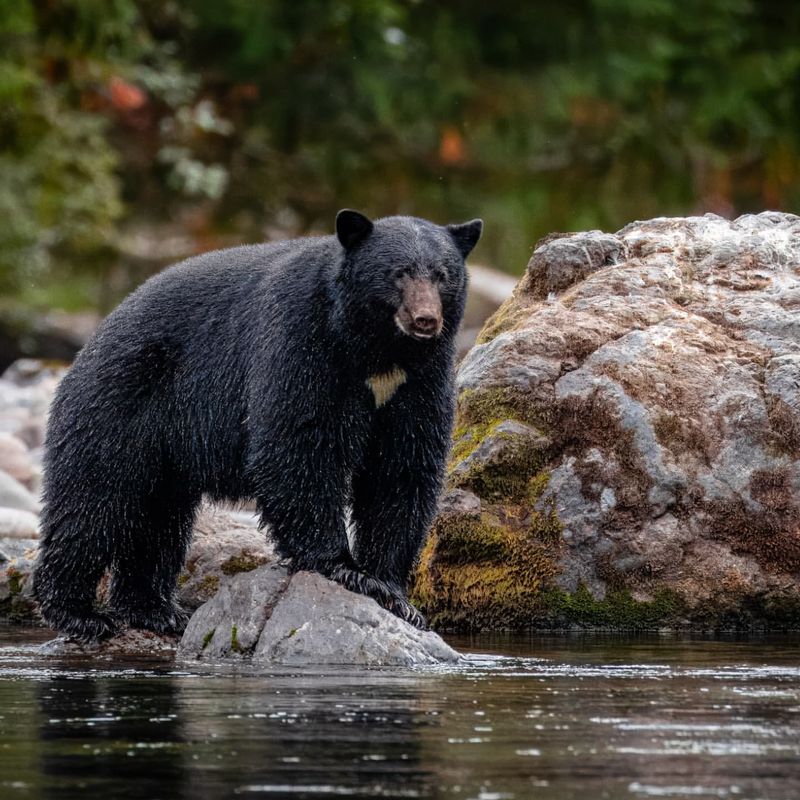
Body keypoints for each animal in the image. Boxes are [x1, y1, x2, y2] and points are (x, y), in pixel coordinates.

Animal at [32, 209, 482, 640]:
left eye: (443, 275)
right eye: (398, 272)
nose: (425, 320)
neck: (379, 352)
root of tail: (89, 343)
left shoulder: (420, 381)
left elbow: (402, 468)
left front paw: (393, 592)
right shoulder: (302, 342)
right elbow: (297, 446)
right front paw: (344, 567)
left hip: (163, 451)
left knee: (159, 521)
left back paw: (155, 611)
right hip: (117, 406)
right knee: (93, 503)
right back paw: (78, 614)